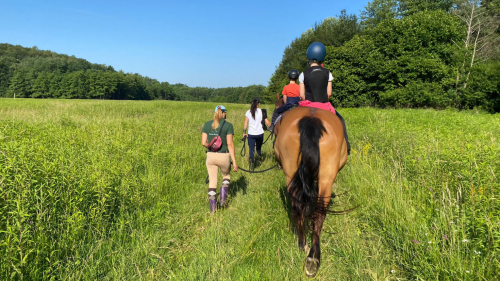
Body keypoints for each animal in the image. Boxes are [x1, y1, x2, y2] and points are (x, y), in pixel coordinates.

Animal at [274, 105, 348, 278]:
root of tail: (311, 119)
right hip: (327, 178)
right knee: (319, 214)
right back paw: (314, 258)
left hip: (292, 174)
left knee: (297, 209)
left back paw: (303, 245)